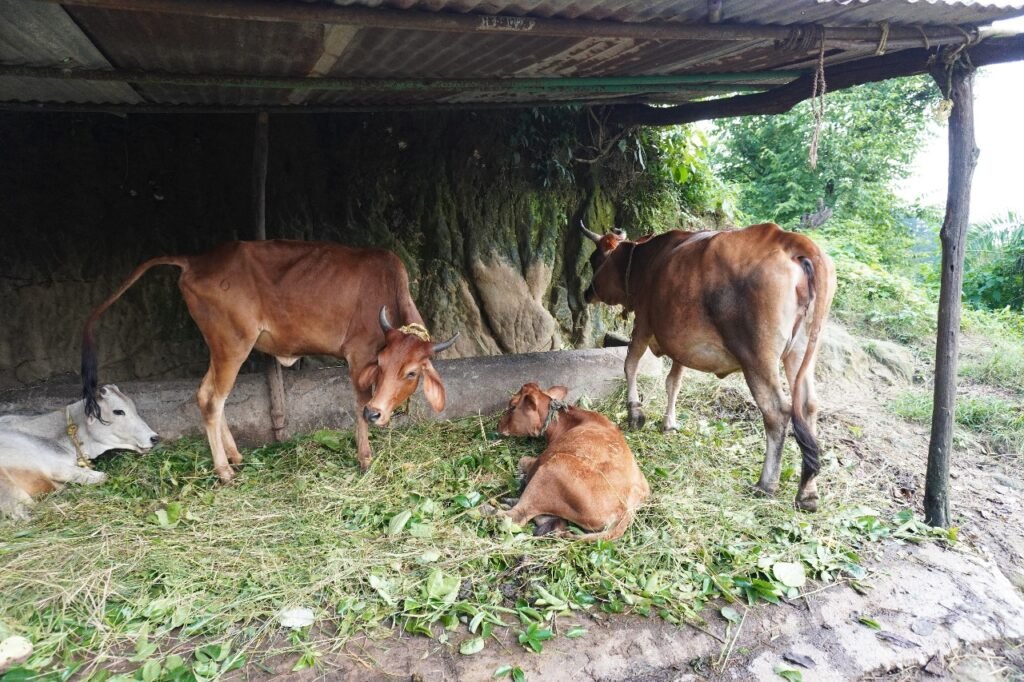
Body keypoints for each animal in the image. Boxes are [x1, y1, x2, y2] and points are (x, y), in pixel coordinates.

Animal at [81, 240, 458, 482]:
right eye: (381, 364)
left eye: (411, 372)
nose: (377, 414)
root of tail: (197, 261)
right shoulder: (358, 354)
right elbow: (358, 401)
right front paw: (364, 457)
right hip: (233, 344)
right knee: (212, 399)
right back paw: (224, 471)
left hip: (221, 346)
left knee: (206, 394)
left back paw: (234, 456)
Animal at [496, 383, 650, 541]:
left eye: (512, 406)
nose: (498, 425)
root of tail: (627, 509)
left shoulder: (540, 460)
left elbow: (523, 460)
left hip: (554, 468)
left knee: (517, 516)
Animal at [581, 222, 836, 511]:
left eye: (593, 260)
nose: (586, 293)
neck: (644, 261)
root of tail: (791, 240)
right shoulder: (680, 344)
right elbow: (674, 382)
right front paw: (669, 423)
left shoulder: (644, 322)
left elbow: (630, 364)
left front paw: (635, 413)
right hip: (801, 351)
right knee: (808, 406)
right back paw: (807, 494)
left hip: (757, 357)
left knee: (777, 411)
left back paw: (766, 484)